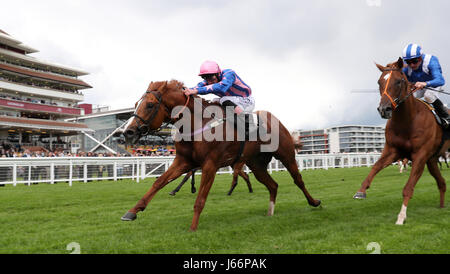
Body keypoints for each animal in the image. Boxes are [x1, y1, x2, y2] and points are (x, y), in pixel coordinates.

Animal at [121, 79, 322, 231]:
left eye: (150, 105)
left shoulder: (210, 164)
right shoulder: (183, 161)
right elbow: (159, 182)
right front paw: (132, 211)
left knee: (298, 180)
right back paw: (270, 212)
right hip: (256, 165)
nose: (127, 132)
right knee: (273, 185)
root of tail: (276, 121)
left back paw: (314, 202)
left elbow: (200, 199)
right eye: (136, 105)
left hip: (286, 155)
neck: (198, 124)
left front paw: (192, 229)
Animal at [356, 57, 446, 225]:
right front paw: (361, 191)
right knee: (442, 183)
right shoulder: (393, 151)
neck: (408, 121)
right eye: (379, 82)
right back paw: (442, 206)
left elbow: (408, 188)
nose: (384, 109)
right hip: (432, 160)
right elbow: (375, 166)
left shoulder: (420, 156)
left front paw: (401, 217)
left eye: (398, 81)